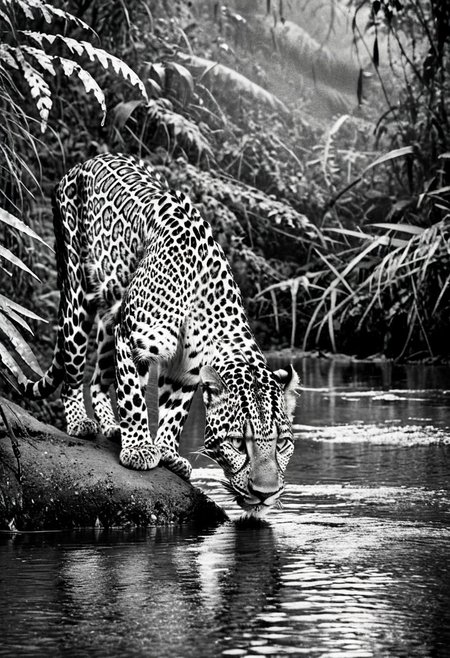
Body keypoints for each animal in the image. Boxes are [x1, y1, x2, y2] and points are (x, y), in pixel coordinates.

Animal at [18, 152, 299, 514]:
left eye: (282, 443)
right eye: (238, 442)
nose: (266, 493)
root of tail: (83, 163)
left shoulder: (188, 368)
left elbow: (175, 409)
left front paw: (167, 452)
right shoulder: (134, 338)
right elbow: (135, 398)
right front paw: (140, 449)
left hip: (112, 314)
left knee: (98, 379)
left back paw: (111, 426)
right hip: (76, 293)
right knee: (73, 368)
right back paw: (81, 422)